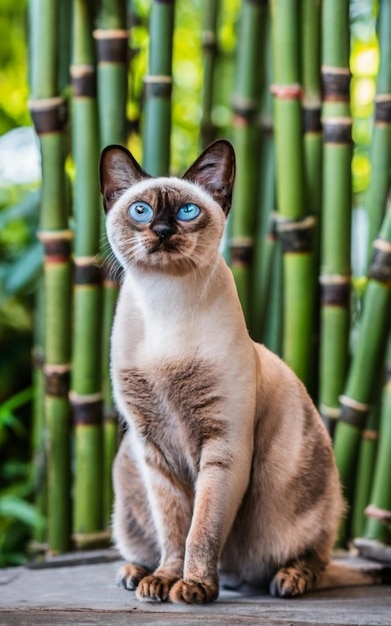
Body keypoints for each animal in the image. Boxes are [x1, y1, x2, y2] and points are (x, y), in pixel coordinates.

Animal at [100, 139, 376, 604]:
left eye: (186, 211)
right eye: (140, 210)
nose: (162, 230)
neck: (164, 302)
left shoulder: (223, 447)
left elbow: (201, 530)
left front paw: (193, 586)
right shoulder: (152, 445)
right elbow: (174, 530)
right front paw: (165, 580)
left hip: (302, 508)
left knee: (318, 558)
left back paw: (288, 580)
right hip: (128, 472)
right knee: (148, 543)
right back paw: (137, 573)